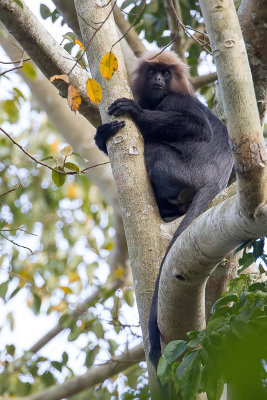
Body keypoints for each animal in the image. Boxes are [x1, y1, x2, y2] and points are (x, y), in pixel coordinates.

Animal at [94, 51, 234, 370]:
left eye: (166, 74)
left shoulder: (176, 100)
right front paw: (101, 136)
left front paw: (135, 112)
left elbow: (197, 126)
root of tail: (217, 179)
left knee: (155, 147)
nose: (158, 78)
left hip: (183, 172)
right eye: (153, 72)